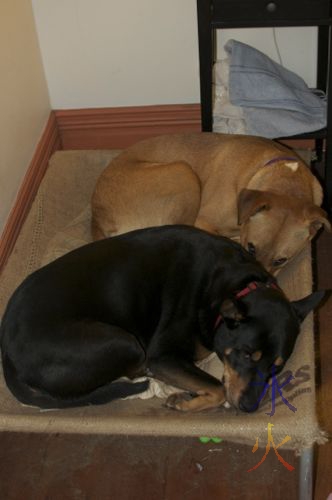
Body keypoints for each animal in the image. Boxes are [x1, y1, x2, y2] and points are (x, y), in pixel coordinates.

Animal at [0, 225, 322, 412]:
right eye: (245, 354)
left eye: (276, 367)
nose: (250, 407)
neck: (236, 285)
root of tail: (7, 354)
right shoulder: (163, 357)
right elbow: (219, 388)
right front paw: (185, 402)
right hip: (125, 344)